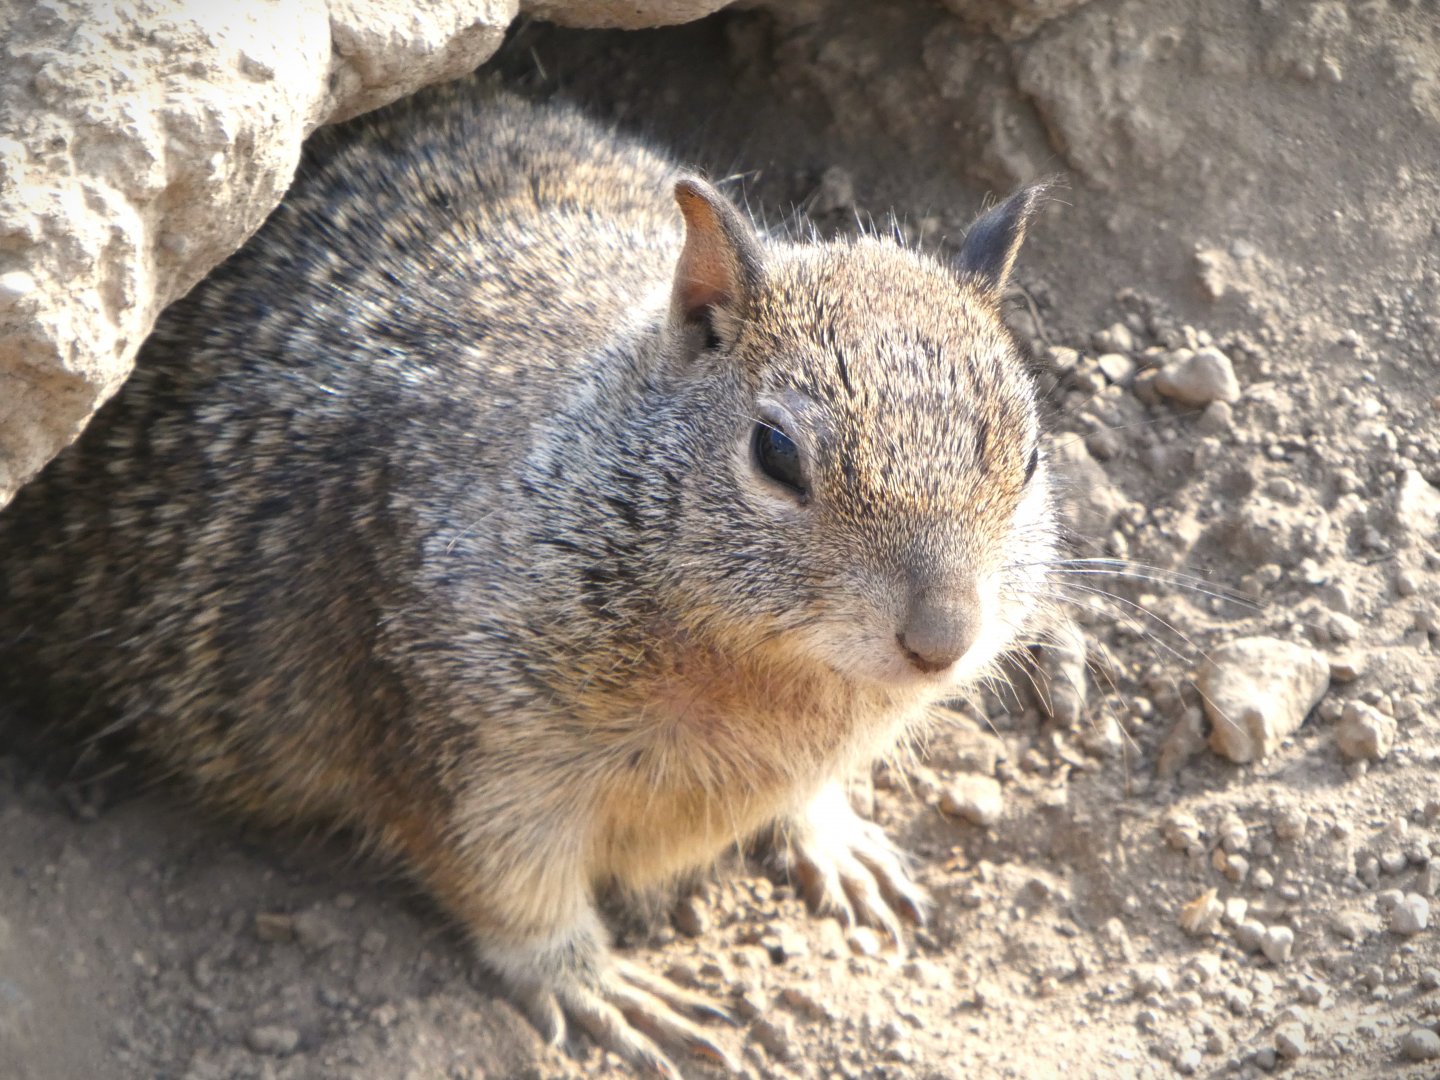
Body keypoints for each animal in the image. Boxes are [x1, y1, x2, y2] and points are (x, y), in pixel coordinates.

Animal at [0, 81, 1060, 1076]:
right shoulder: (463, 743)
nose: (944, 639)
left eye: (1034, 455)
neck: (769, 683)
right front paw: (598, 985)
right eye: (774, 452)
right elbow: (509, 886)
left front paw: (840, 840)